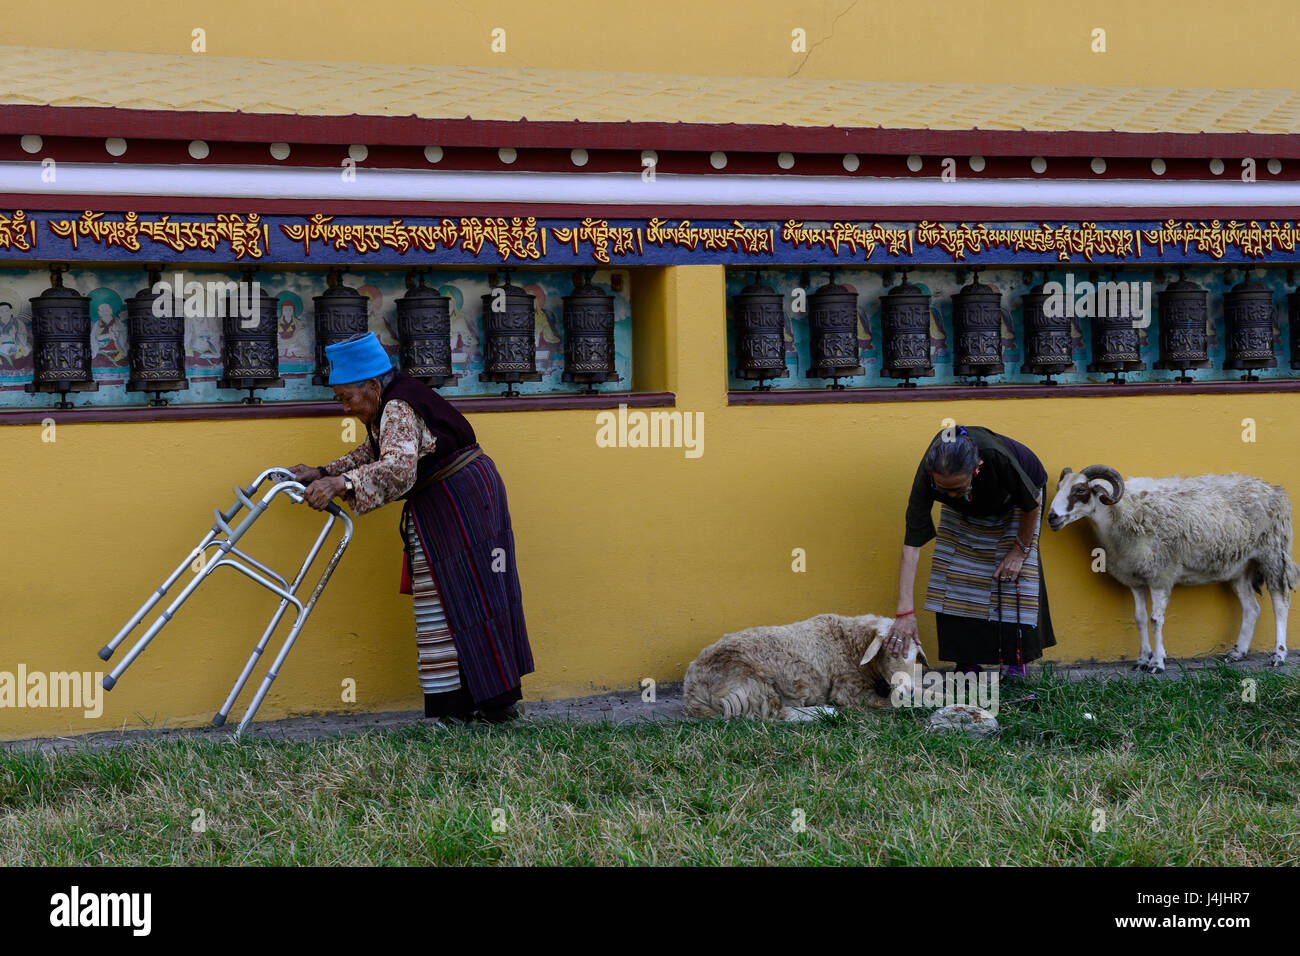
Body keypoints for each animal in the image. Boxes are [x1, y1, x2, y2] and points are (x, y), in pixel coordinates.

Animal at [681, 616, 925, 723]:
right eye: (891, 653)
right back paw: (825, 712)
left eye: (915, 656)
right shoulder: (850, 690)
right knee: (777, 713)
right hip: (751, 682)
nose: (909, 689)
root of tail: (692, 693)